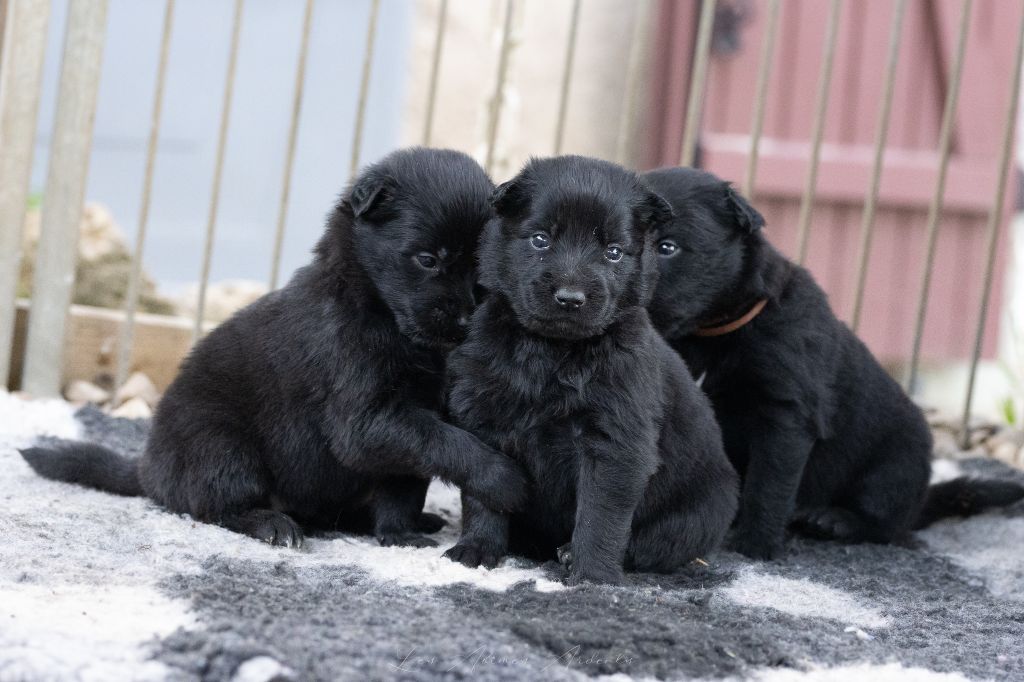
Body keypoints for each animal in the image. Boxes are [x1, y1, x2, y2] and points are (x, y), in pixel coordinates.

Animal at [22, 147, 528, 548]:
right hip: (223, 448)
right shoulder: (368, 420)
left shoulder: (407, 422)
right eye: (427, 259)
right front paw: (501, 478)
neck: (373, 307)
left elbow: (406, 482)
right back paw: (272, 525)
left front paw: (400, 533)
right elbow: (445, 442)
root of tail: (148, 470)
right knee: (216, 508)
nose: (464, 319)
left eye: (479, 266)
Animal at [444, 156, 741, 581]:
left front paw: (592, 577)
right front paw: (477, 549)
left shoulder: (614, 442)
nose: (570, 298)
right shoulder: (487, 419)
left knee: (653, 544)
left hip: (696, 518)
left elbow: (600, 515)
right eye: (540, 240)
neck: (553, 351)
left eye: (613, 252)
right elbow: (487, 490)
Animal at [647, 165, 1024, 557]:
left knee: (886, 525)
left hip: (895, 464)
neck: (712, 333)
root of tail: (921, 502)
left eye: (667, 247)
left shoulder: (785, 416)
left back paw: (833, 520)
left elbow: (769, 484)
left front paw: (755, 544)